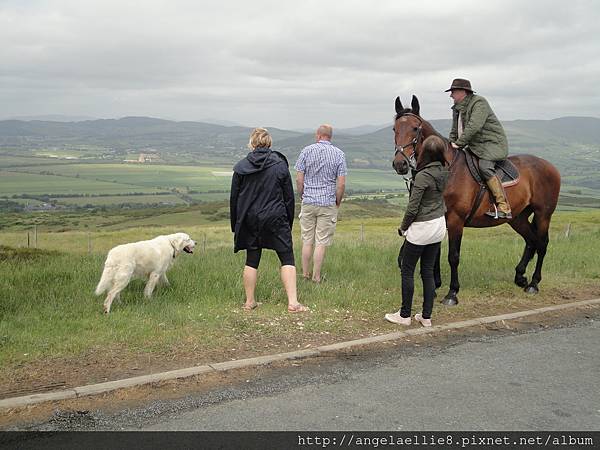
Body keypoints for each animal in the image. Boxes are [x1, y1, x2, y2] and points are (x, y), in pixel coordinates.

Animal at [392, 96, 560, 304]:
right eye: (395, 129)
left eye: (415, 128)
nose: (400, 164)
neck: (445, 169)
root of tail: (551, 167)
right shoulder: (438, 218)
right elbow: (435, 252)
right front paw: (436, 284)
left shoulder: (455, 221)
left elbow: (453, 256)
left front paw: (452, 293)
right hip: (517, 217)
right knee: (531, 241)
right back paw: (520, 276)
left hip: (543, 214)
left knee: (542, 244)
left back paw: (534, 284)